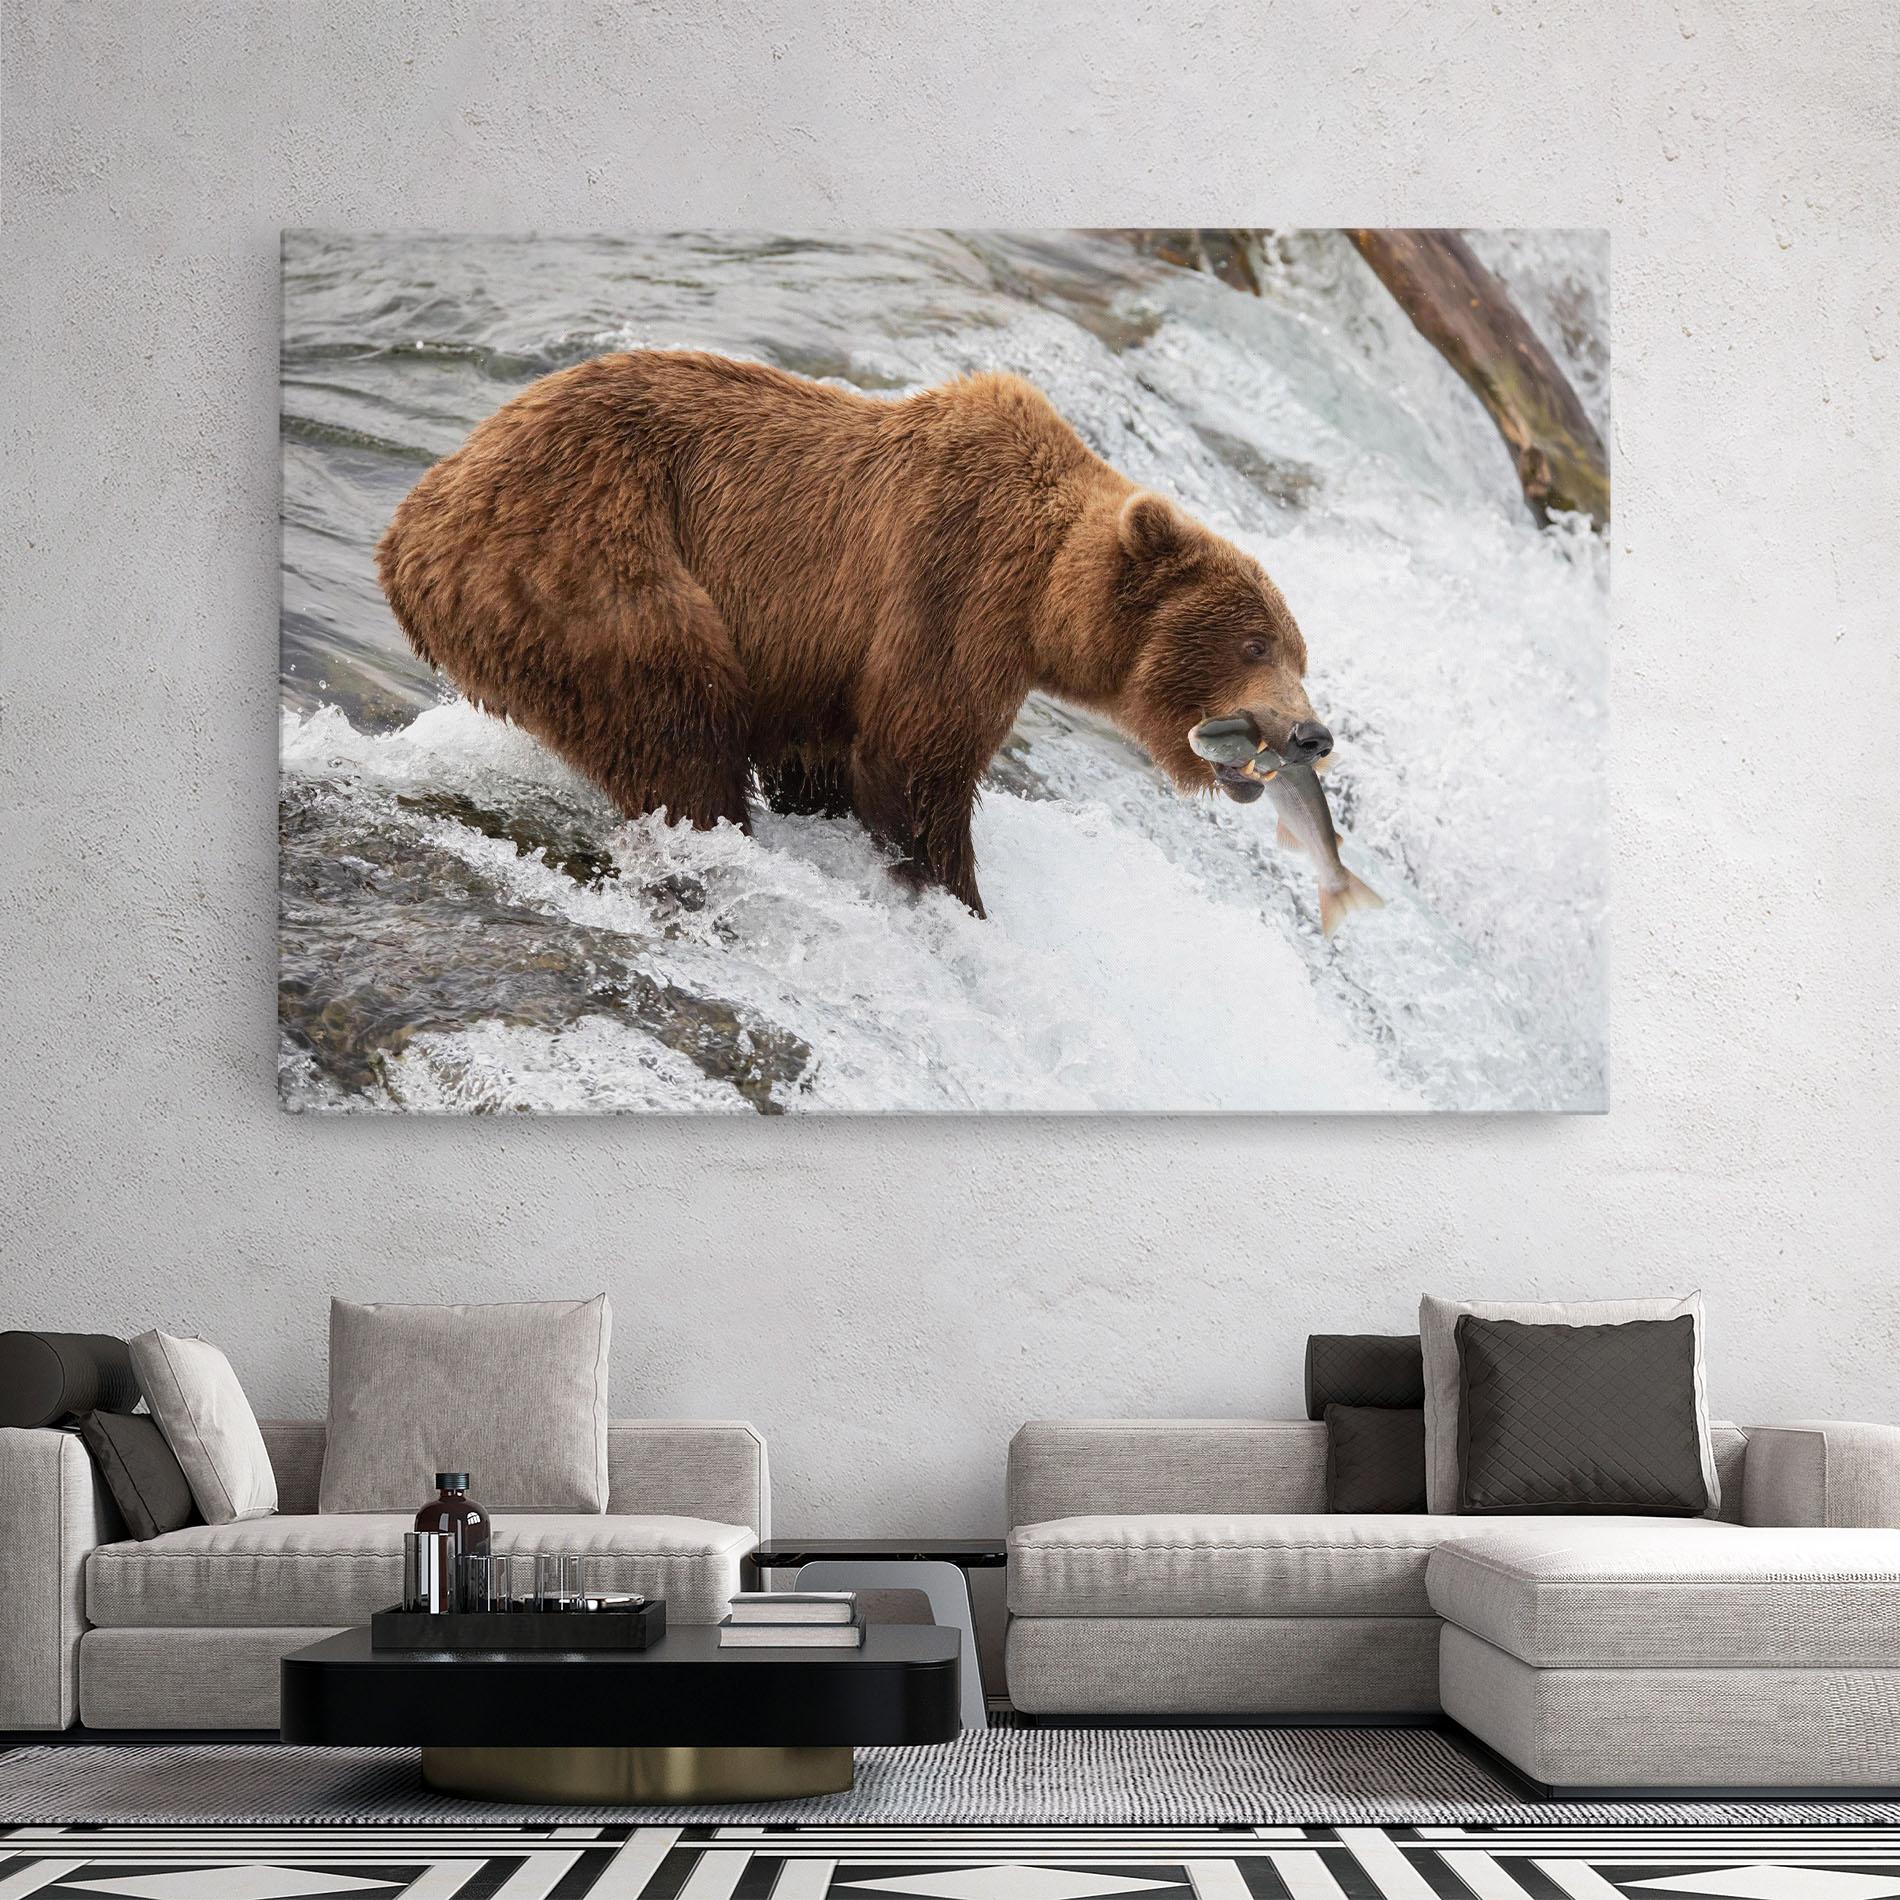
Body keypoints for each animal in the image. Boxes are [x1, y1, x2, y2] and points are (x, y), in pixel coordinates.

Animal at [376, 350, 1332, 918]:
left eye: (1299, 652)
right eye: (1254, 644)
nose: (1311, 735)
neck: (1042, 598)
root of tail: (411, 523)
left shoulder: (821, 664)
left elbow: (827, 760)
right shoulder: (950, 589)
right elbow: (915, 763)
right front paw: (955, 896)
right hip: (589, 561)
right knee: (675, 721)